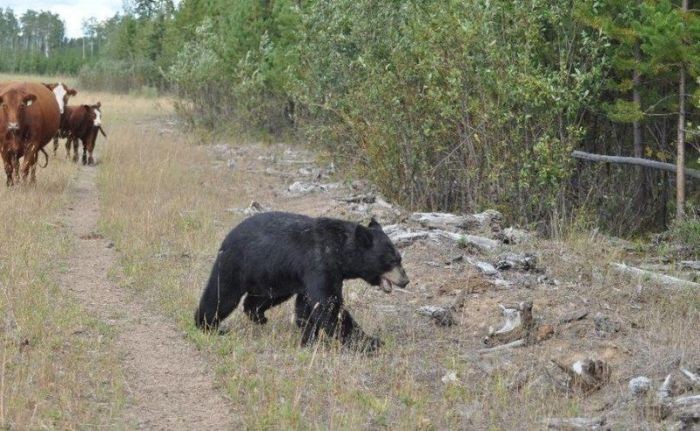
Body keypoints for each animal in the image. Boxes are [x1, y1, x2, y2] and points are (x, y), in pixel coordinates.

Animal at [193, 212, 410, 352]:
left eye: (400, 258)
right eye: (392, 260)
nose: (405, 280)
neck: (339, 251)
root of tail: (227, 237)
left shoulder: (324, 274)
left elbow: (308, 306)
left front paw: (309, 338)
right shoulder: (319, 264)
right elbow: (328, 305)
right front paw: (372, 342)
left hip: (273, 275)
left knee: (261, 298)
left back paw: (258, 316)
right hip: (238, 264)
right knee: (222, 295)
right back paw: (207, 325)